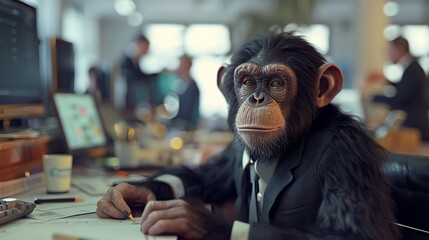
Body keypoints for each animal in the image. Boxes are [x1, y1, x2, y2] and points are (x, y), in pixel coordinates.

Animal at [95, 31, 400, 239]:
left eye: (276, 83)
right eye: (248, 82)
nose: (256, 98)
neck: (291, 143)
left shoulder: (346, 155)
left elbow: (352, 233)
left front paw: (191, 219)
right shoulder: (234, 151)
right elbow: (207, 176)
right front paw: (128, 192)